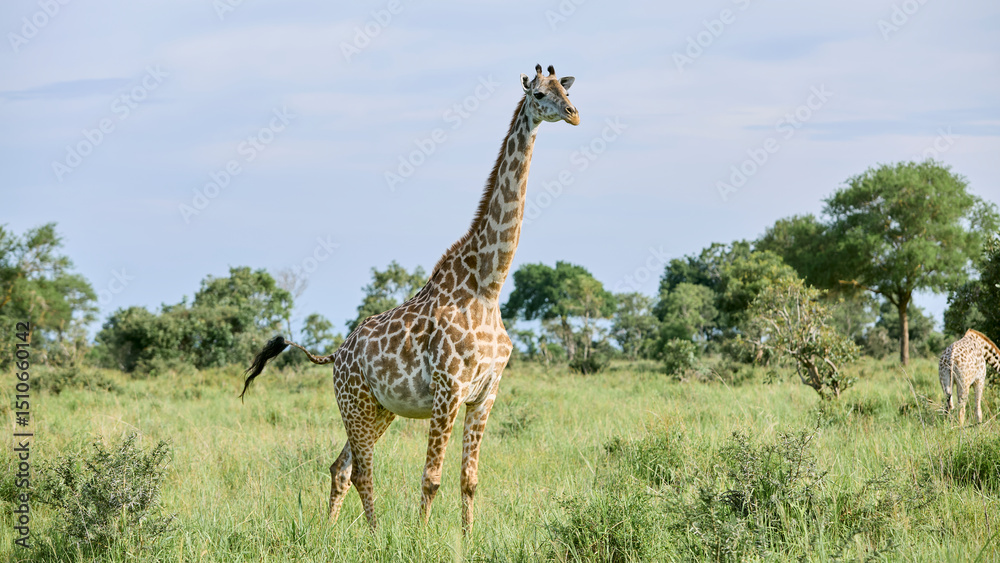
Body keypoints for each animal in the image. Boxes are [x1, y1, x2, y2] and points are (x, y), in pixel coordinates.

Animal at [240, 64, 578, 532]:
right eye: (540, 94)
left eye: (567, 89)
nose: (573, 114)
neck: (487, 286)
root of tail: (337, 354)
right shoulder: (448, 389)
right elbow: (432, 477)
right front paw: (421, 537)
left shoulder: (485, 393)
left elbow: (469, 480)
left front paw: (467, 538)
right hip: (356, 404)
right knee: (361, 470)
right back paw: (374, 533)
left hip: (379, 408)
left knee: (340, 466)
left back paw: (329, 534)